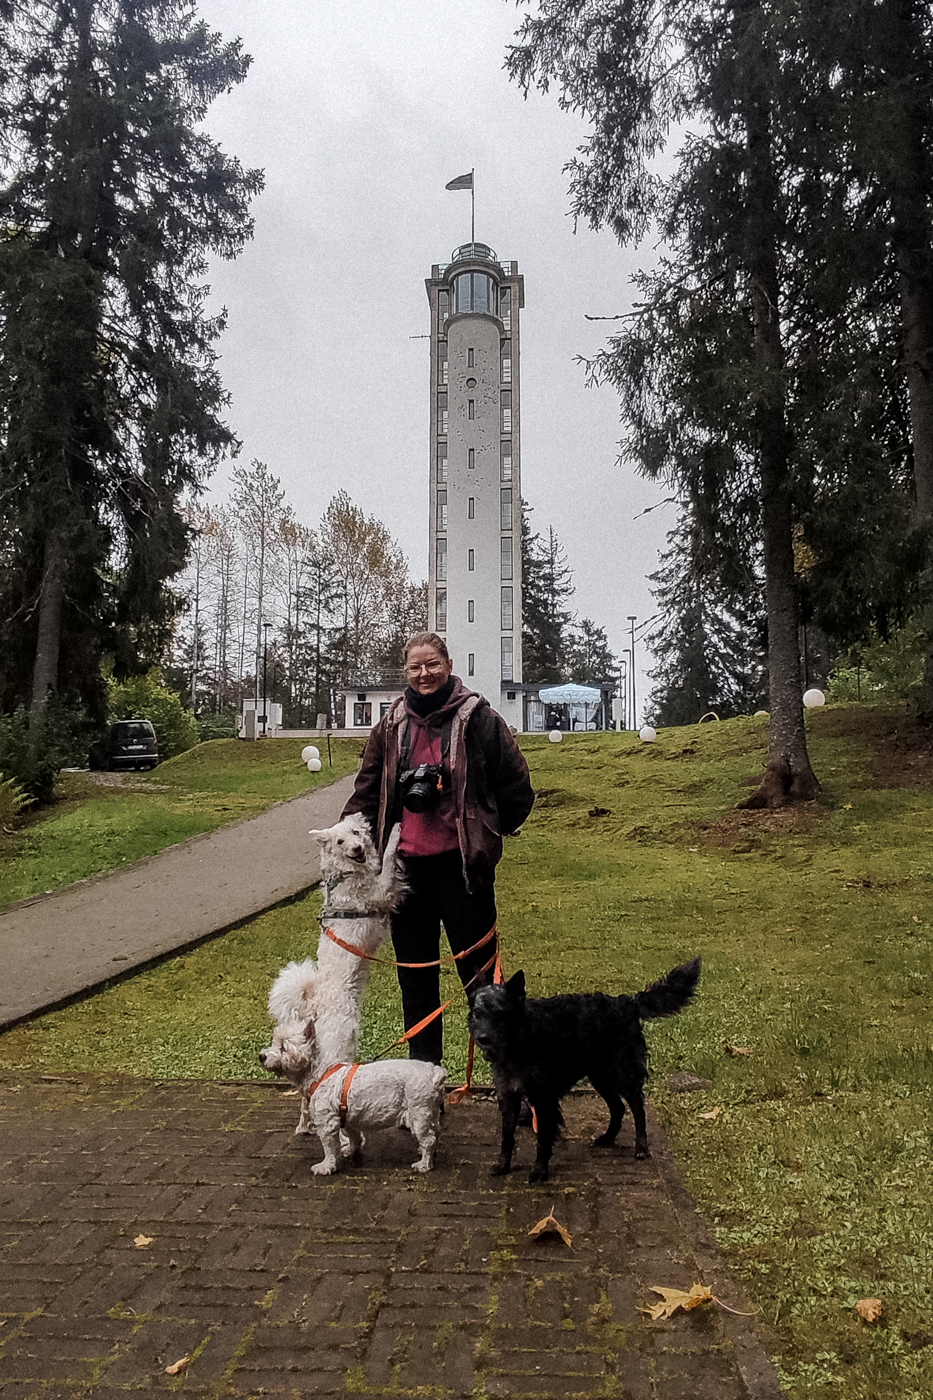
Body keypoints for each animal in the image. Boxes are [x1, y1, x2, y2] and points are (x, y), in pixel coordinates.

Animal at [468, 958, 701, 1182]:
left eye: (499, 1013)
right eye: (478, 1013)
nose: (482, 1038)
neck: (520, 1039)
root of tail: (628, 1002)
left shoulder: (544, 1100)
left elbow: (543, 1139)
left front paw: (540, 1170)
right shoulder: (509, 1097)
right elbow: (507, 1137)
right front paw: (503, 1165)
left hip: (622, 1074)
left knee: (637, 1108)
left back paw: (641, 1147)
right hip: (601, 1077)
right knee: (618, 1107)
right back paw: (608, 1137)